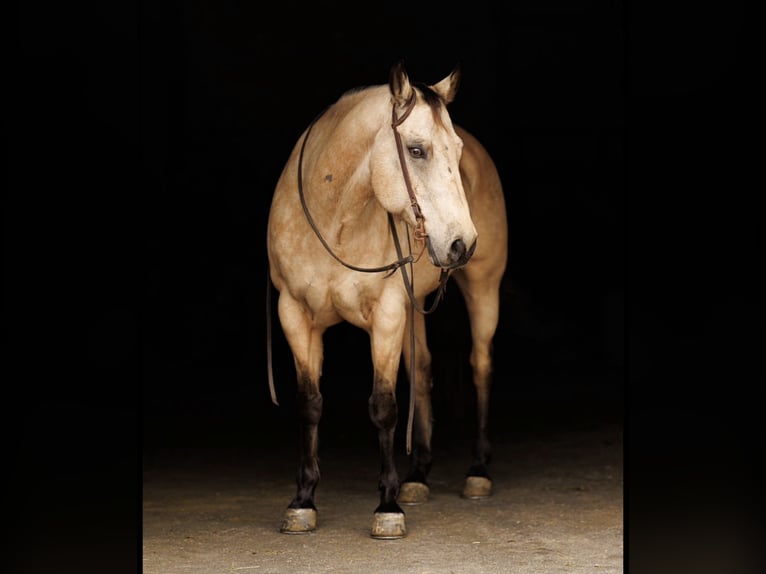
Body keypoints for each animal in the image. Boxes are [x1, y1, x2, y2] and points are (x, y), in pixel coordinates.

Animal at [266, 61, 508, 539]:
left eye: (455, 150)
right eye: (416, 150)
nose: (462, 244)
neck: (335, 220)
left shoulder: (388, 315)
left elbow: (383, 406)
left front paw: (388, 507)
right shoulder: (294, 315)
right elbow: (309, 403)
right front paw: (303, 501)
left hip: (483, 288)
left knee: (481, 368)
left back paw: (477, 471)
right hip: (415, 310)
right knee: (424, 370)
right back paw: (418, 476)